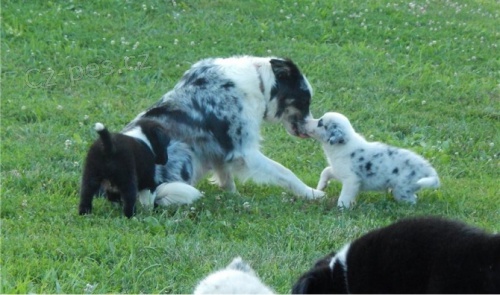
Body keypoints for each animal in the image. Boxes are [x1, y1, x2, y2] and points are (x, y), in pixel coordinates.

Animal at [125, 55, 324, 205]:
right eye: (304, 101)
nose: (309, 127)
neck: (259, 83)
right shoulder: (245, 152)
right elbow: (285, 172)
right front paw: (311, 193)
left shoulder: (220, 149)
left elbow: (226, 176)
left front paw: (233, 197)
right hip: (183, 152)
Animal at [302, 112, 440, 209]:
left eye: (320, 123)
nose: (304, 121)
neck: (343, 144)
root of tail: (428, 169)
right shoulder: (338, 170)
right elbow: (326, 171)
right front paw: (320, 187)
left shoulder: (351, 180)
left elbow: (344, 197)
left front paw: (341, 209)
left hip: (402, 189)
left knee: (412, 201)